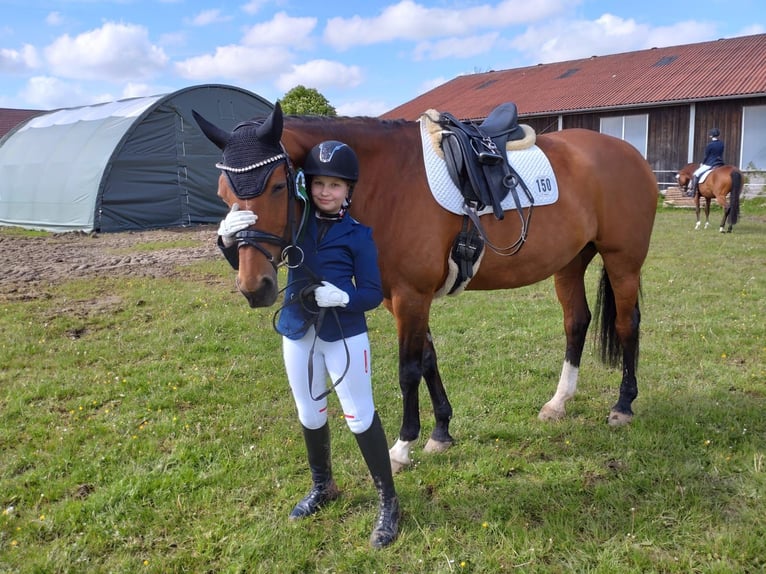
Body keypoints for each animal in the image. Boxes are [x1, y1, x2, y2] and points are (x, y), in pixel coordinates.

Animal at [192, 103, 660, 472]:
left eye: (276, 186)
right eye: (222, 192)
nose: (255, 287)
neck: (387, 180)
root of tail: (628, 153)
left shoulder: (411, 296)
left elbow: (408, 369)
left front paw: (403, 446)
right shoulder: (399, 298)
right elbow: (430, 360)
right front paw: (441, 432)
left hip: (622, 261)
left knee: (627, 323)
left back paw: (623, 406)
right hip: (569, 263)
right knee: (576, 322)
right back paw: (559, 402)